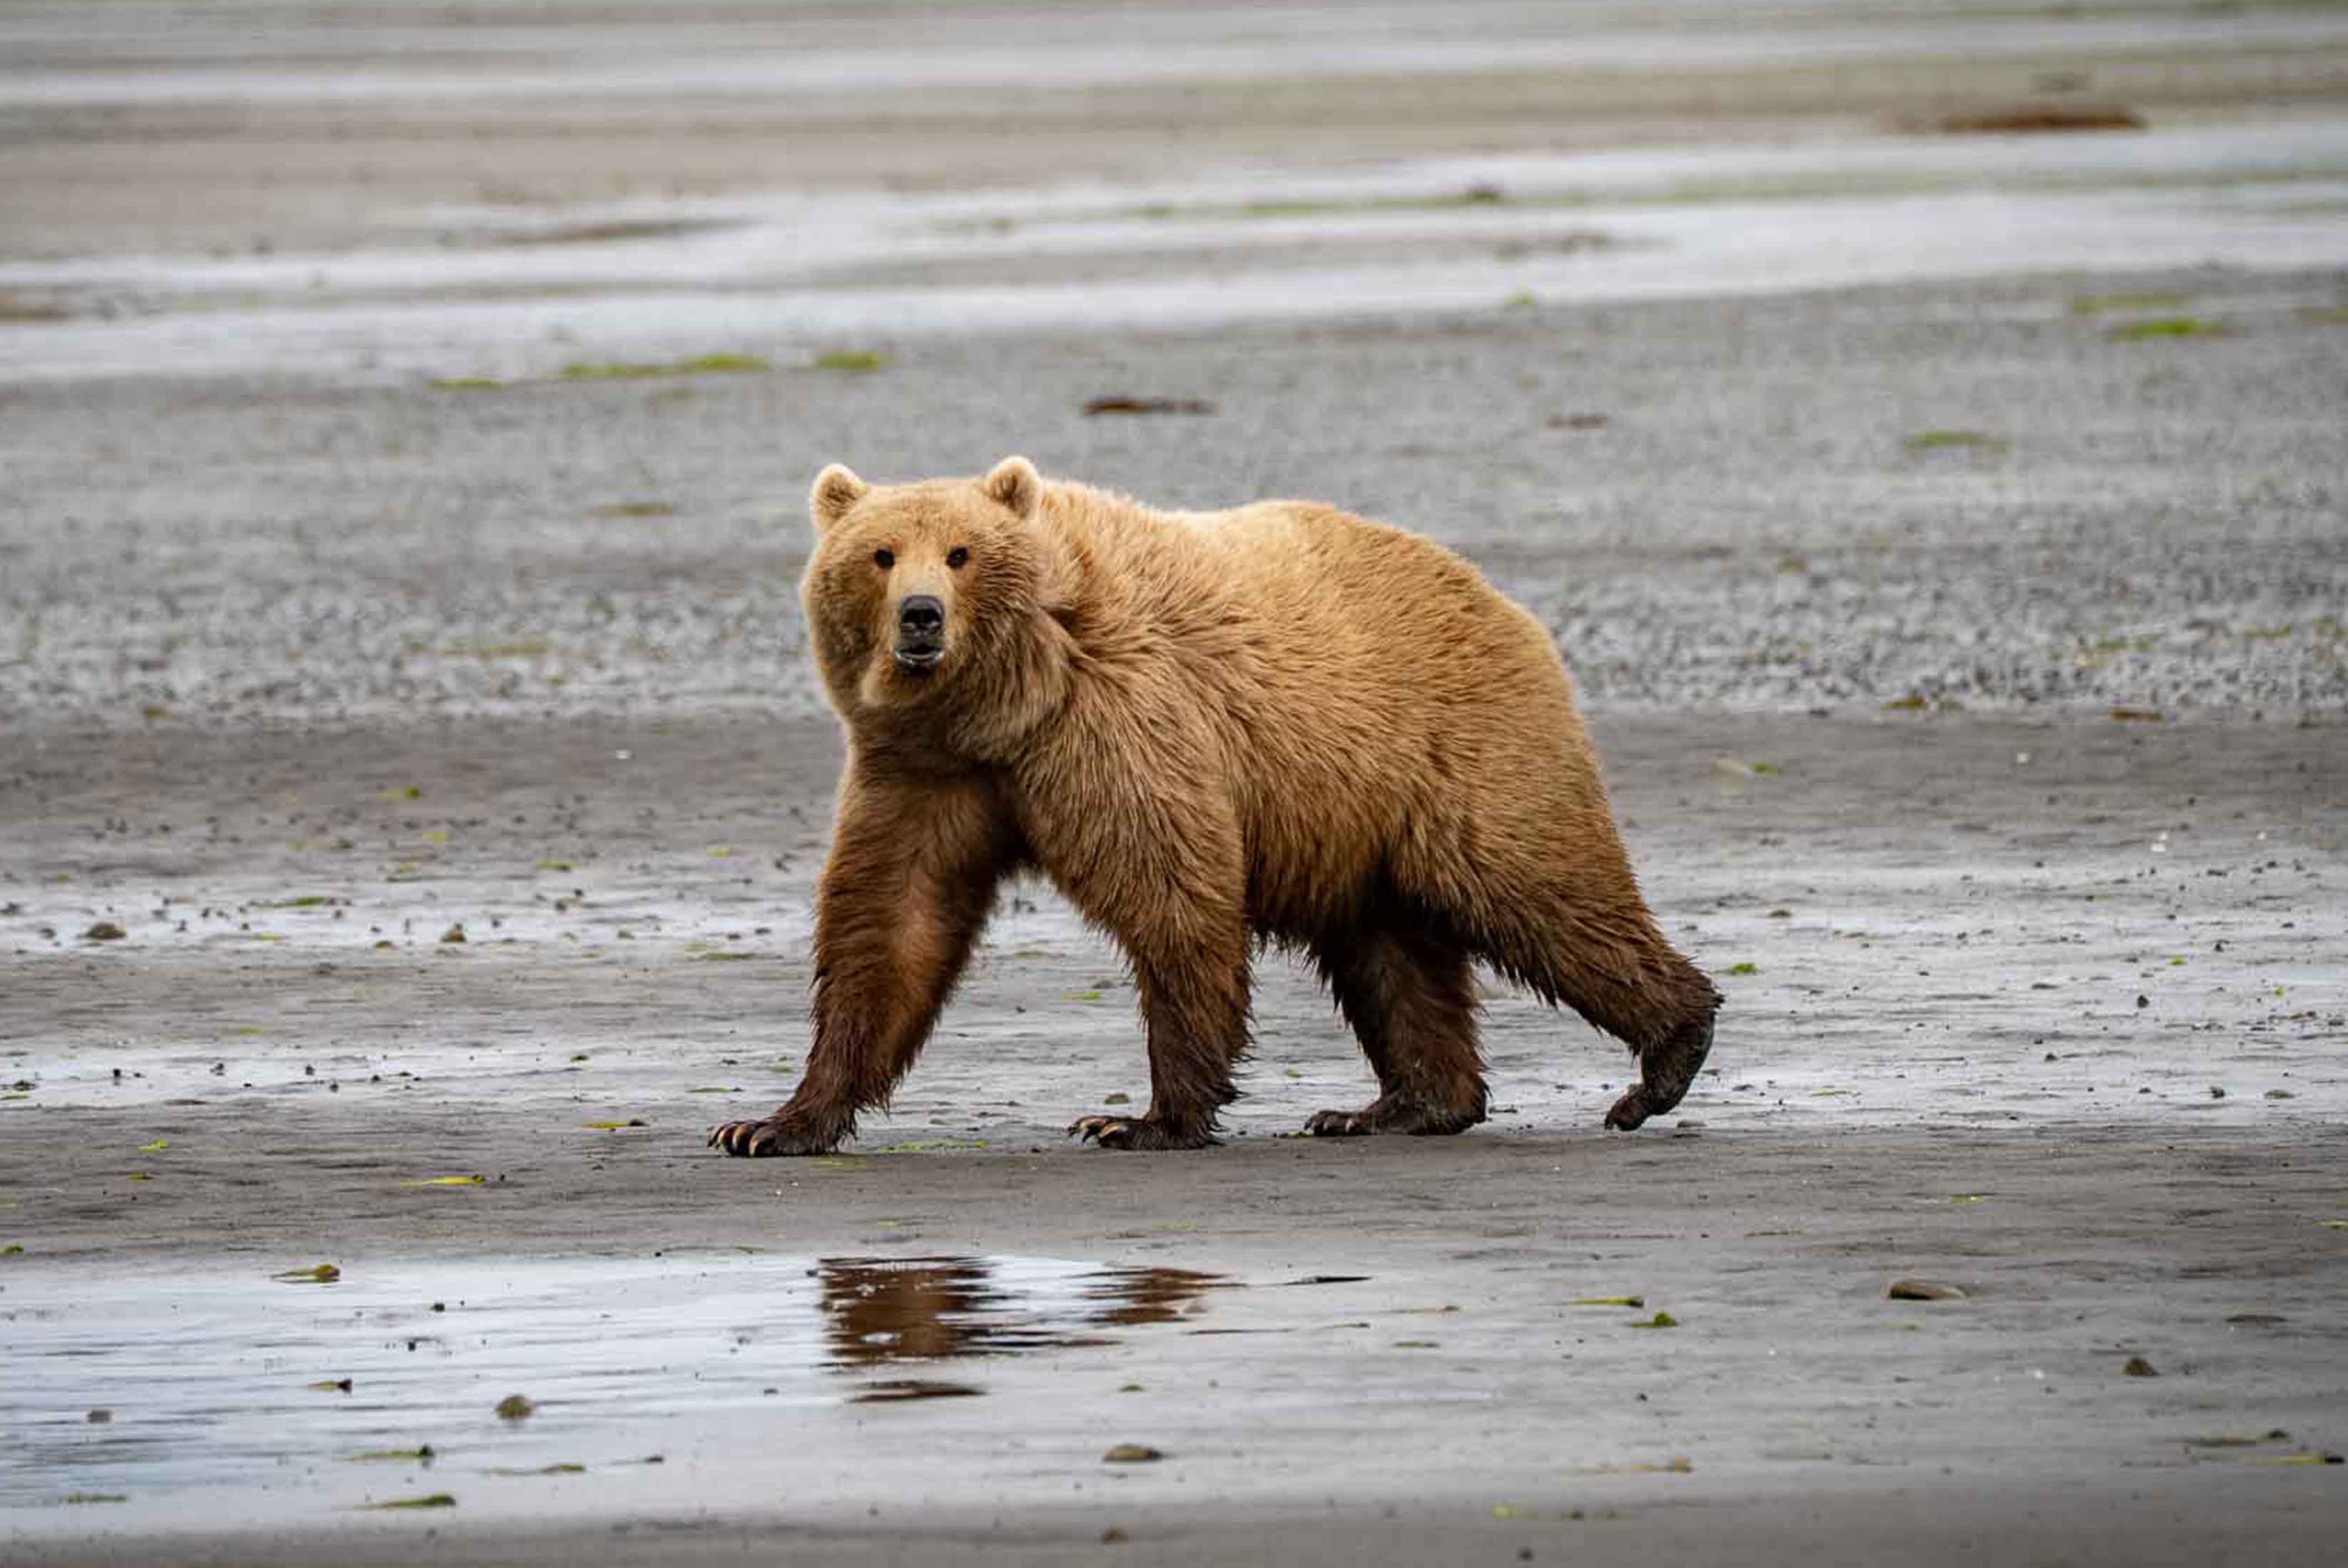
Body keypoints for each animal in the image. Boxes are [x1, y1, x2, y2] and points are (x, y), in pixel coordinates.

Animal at [709, 457, 1718, 1156]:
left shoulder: (1117, 721)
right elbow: (893, 924)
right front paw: (772, 1123)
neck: (1002, 709)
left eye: (960, 553)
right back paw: (1395, 1105)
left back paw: (1665, 1056)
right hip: (1357, 821)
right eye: (880, 555)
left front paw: (1142, 1117)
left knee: (1540, 893)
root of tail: (1495, 593)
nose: (921, 615)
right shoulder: (925, 772)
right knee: (1389, 951)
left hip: (1454, 752)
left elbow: (1172, 895)